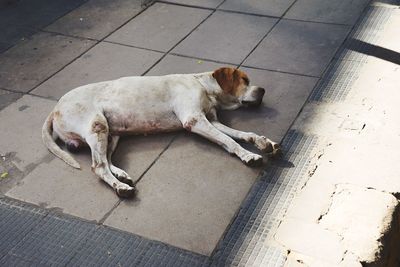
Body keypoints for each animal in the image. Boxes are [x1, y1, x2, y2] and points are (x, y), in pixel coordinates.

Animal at [42, 68, 282, 198]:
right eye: (245, 80)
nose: (262, 90)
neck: (202, 84)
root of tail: (55, 108)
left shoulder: (211, 120)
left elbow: (240, 134)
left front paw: (262, 142)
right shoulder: (195, 120)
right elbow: (230, 141)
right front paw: (248, 155)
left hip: (112, 134)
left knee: (106, 160)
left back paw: (121, 175)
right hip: (97, 126)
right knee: (98, 166)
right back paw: (121, 187)